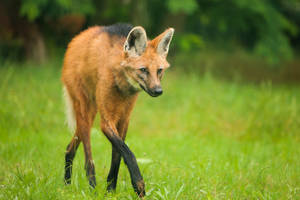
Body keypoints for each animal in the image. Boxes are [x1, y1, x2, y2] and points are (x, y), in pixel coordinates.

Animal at [61, 23, 173, 197]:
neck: (122, 85)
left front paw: (111, 190)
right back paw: (92, 189)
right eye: (143, 70)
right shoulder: (106, 122)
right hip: (85, 113)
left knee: (69, 149)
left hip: (90, 114)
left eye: (159, 70)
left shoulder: (123, 119)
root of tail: (77, 38)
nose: (158, 91)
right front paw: (139, 185)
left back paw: (66, 185)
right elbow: (128, 153)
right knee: (88, 160)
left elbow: (117, 156)